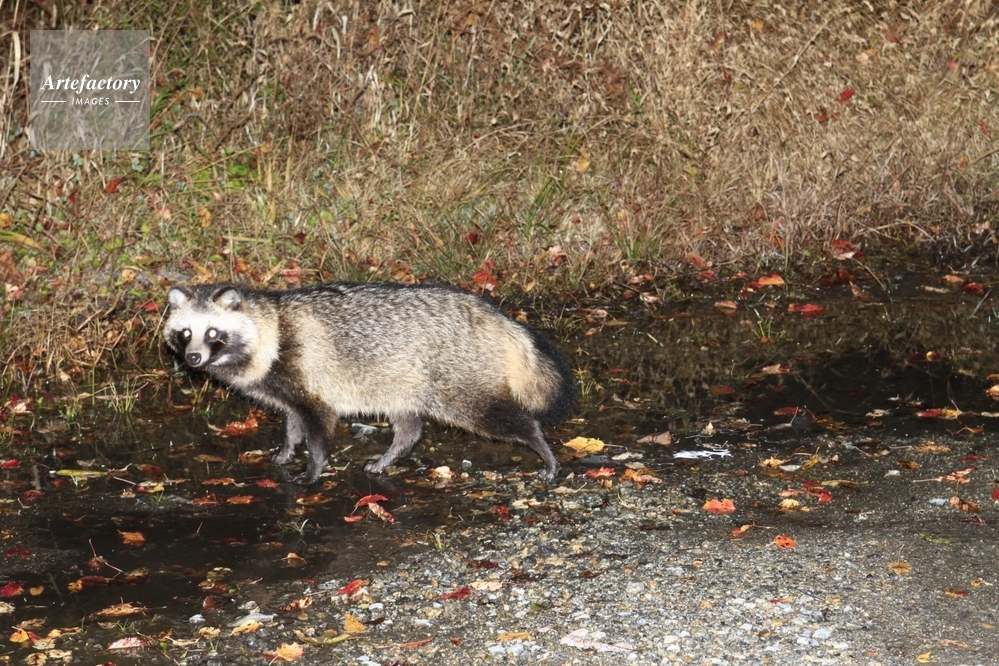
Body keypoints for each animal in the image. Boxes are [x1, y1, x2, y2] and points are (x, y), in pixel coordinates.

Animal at [163, 282, 575, 484]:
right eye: (185, 333)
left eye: (213, 333)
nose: (193, 359)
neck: (270, 326)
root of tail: (498, 317)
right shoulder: (286, 386)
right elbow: (293, 421)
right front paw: (286, 450)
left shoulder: (305, 373)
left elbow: (318, 426)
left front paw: (313, 468)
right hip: (405, 379)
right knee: (409, 427)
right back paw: (390, 456)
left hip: (457, 380)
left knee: (496, 415)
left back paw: (540, 446)